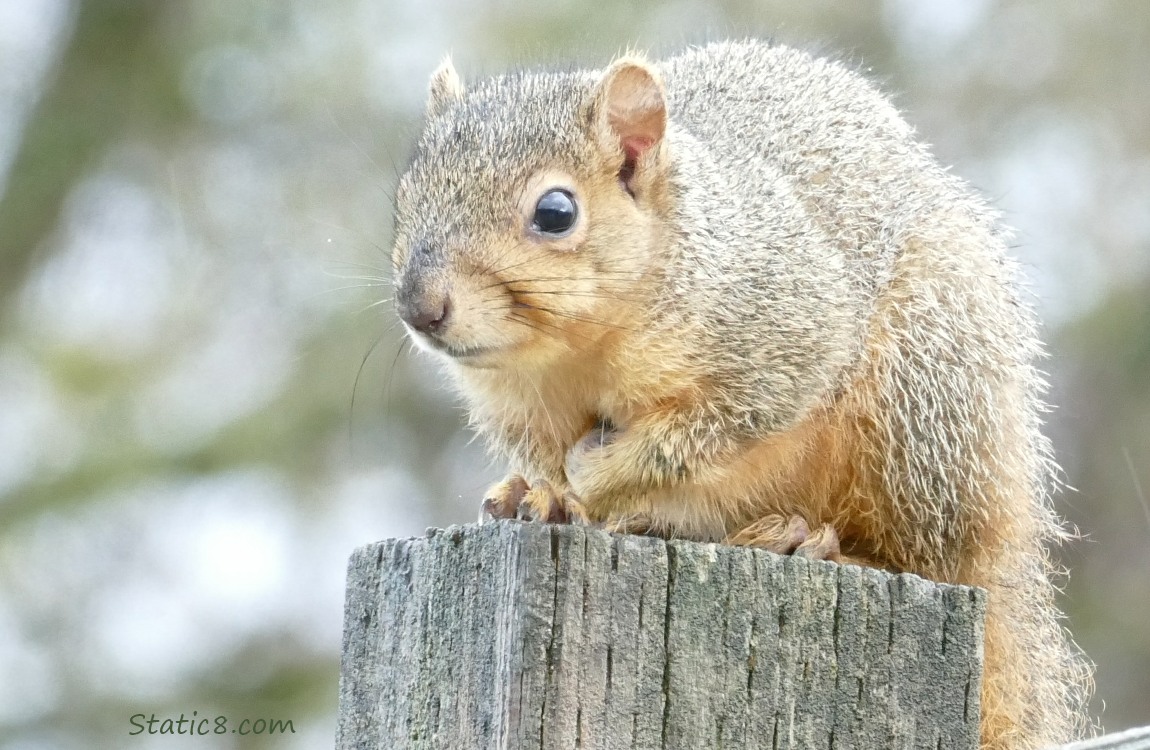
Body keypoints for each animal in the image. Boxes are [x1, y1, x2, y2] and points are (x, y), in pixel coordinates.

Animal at [391, 39, 1090, 750]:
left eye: (555, 213)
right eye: (407, 198)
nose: (419, 308)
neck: (578, 349)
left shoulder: (788, 334)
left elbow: (711, 428)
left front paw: (599, 472)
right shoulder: (517, 406)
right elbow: (545, 456)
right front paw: (550, 496)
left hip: (923, 403)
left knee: (927, 557)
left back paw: (814, 544)